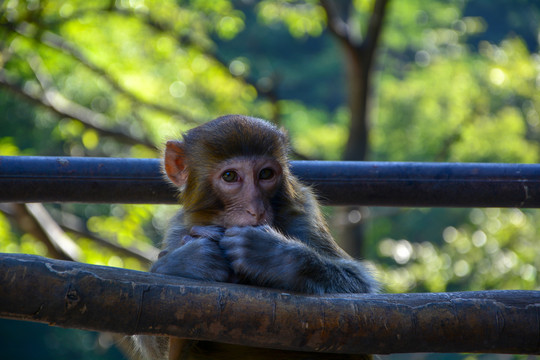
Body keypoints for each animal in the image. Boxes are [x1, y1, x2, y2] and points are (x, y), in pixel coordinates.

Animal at [136, 114, 376, 358]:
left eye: (266, 174)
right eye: (230, 176)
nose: (256, 209)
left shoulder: (302, 209)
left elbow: (359, 286)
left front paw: (272, 255)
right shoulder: (179, 229)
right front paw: (187, 261)